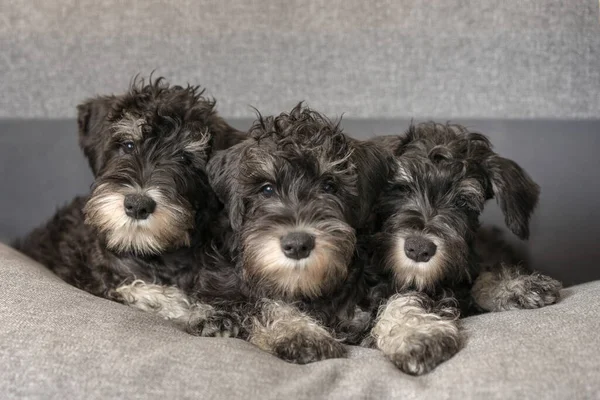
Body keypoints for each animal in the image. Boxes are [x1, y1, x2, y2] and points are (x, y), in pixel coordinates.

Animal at [364, 122, 564, 376]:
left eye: (461, 202)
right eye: (402, 189)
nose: (419, 249)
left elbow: (480, 279)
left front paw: (519, 285)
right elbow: (395, 300)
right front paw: (416, 333)